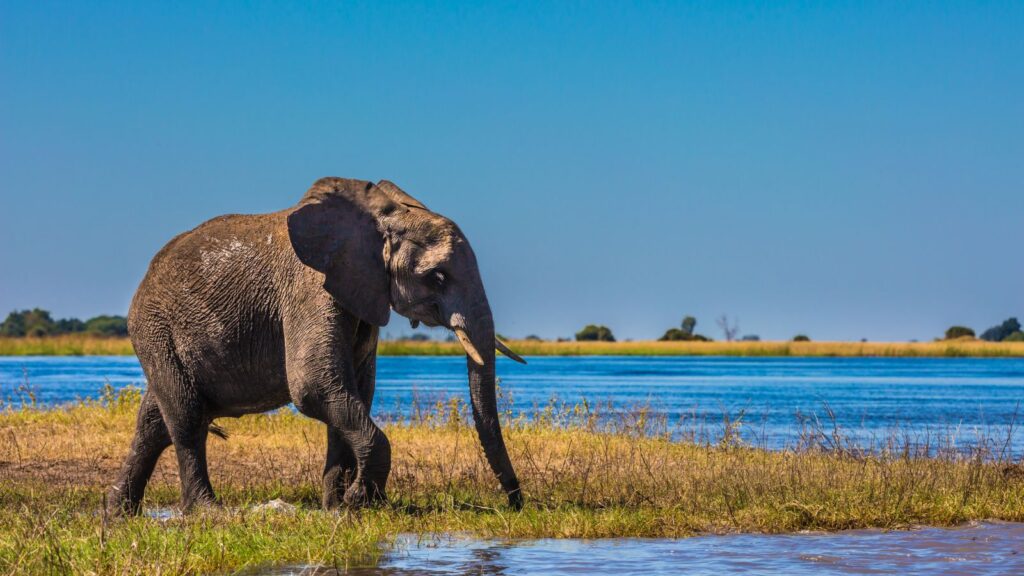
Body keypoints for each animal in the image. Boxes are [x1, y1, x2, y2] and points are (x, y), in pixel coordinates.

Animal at [111, 175, 524, 510]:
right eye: (437, 276)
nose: (516, 502)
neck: (379, 217)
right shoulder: (307, 287)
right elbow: (315, 386)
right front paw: (360, 501)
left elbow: (354, 391)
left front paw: (337, 507)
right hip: (154, 329)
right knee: (186, 418)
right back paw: (207, 513)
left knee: (154, 422)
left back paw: (118, 514)